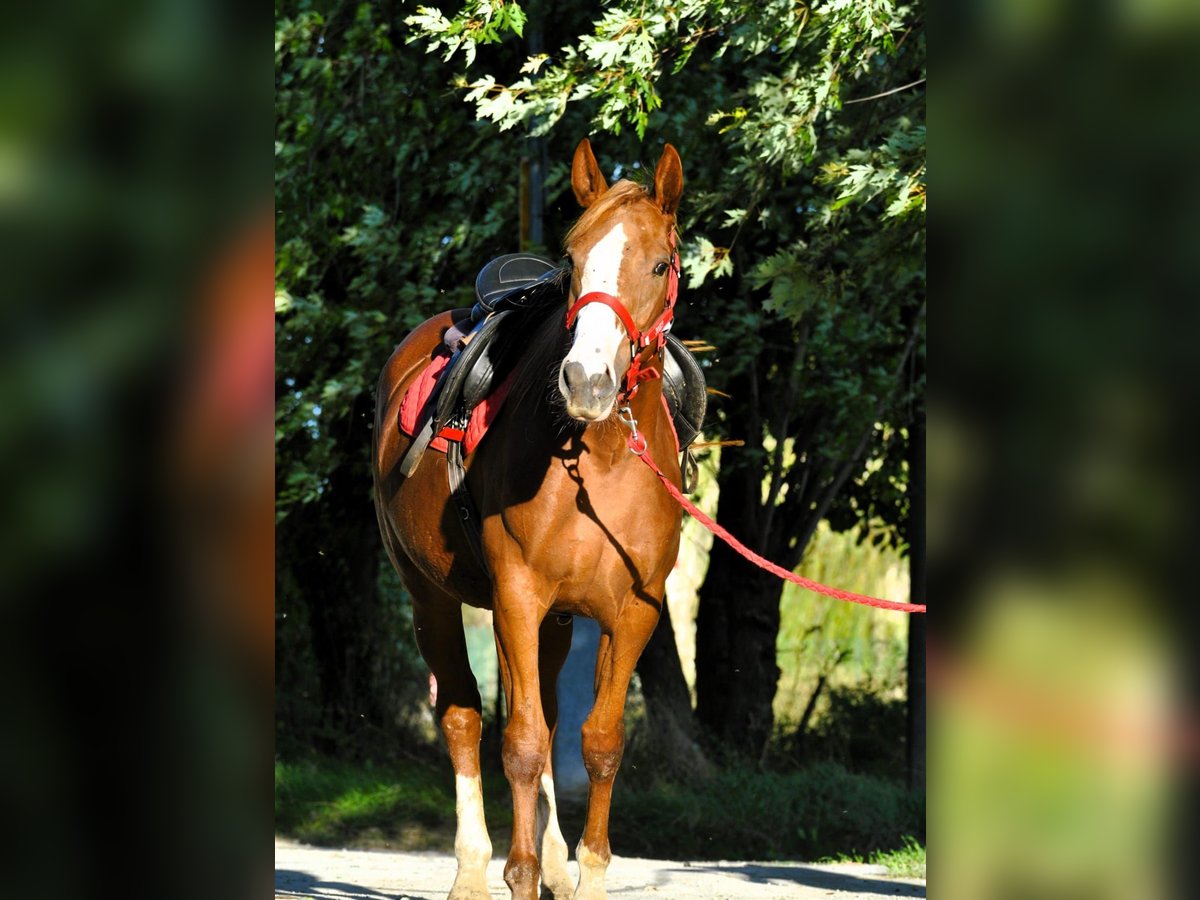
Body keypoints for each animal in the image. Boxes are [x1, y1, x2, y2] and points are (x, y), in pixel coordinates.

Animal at [372, 139, 685, 900]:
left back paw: (551, 861)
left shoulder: (633, 612)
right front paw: (515, 874)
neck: (599, 461)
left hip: (556, 623)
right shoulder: (516, 595)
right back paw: (472, 871)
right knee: (464, 716)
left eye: (659, 265)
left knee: (540, 712)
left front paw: (583, 871)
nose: (588, 382)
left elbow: (596, 744)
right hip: (433, 599)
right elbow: (518, 743)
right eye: (572, 260)